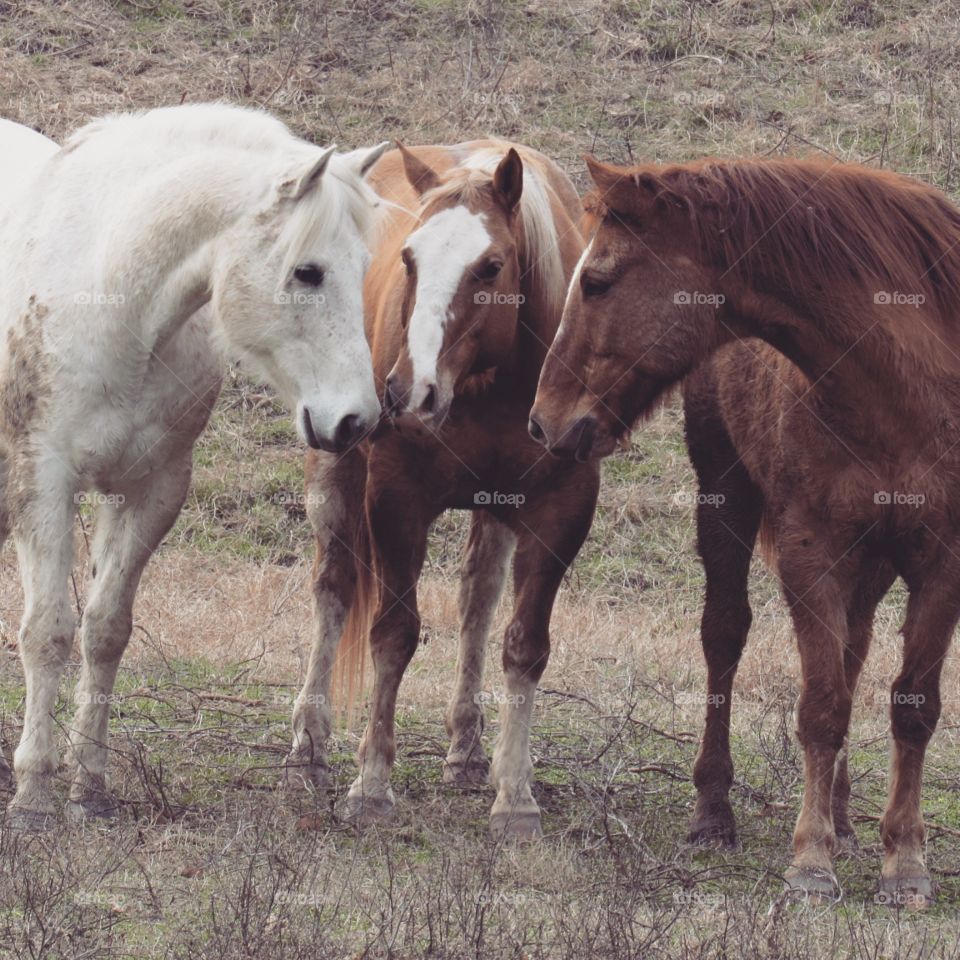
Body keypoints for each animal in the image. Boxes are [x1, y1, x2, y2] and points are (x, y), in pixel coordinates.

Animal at [0, 101, 390, 828]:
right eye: (307, 272)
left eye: (363, 267)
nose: (356, 420)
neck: (107, 291)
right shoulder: (46, 487)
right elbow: (47, 634)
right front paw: (35, 791)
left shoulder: (154, 490)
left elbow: (105, 631)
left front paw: (88, 786)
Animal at [284, 139, 596, 836]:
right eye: (408, 257)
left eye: (491, 266)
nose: (409, 390)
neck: (493, 384)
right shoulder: (395, 498)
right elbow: (394, 635)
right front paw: (372, 785)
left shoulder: (561, 508)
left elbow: (522, 646)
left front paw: (516, 796)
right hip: (335, 475)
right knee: (332, 590)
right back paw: (309, 745)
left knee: (478, 603)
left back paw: (467, 748)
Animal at [528, 154, 960, 904]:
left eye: (597, 281)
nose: (543, 420)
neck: (904, 390)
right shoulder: (811, 553)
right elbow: (821, 707)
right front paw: (811, 861)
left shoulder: (943, 564)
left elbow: (911, 707)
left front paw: (903, 862)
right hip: (724, 500)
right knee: (725, 637)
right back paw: (714, 813)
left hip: (869, 562)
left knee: (853, 651)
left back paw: (845, 821)